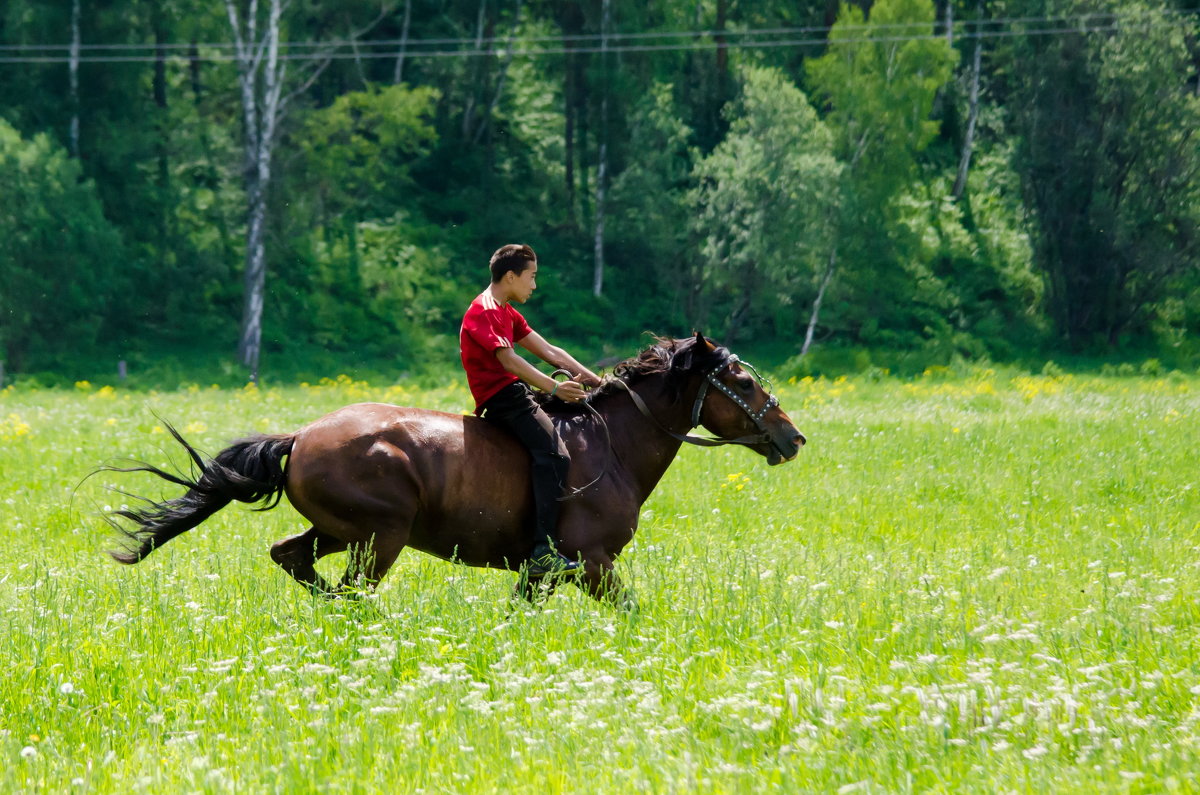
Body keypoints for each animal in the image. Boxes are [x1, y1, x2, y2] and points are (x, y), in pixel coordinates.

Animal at [108, 333, 801, 607]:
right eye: (741, 381)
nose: (791, 437)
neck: (611, 446)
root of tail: (301, 436)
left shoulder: (541, 574)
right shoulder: (593, 563)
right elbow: (631, 610)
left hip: (341, 532)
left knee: (293, 556)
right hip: (380, 537)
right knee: (349, 589)